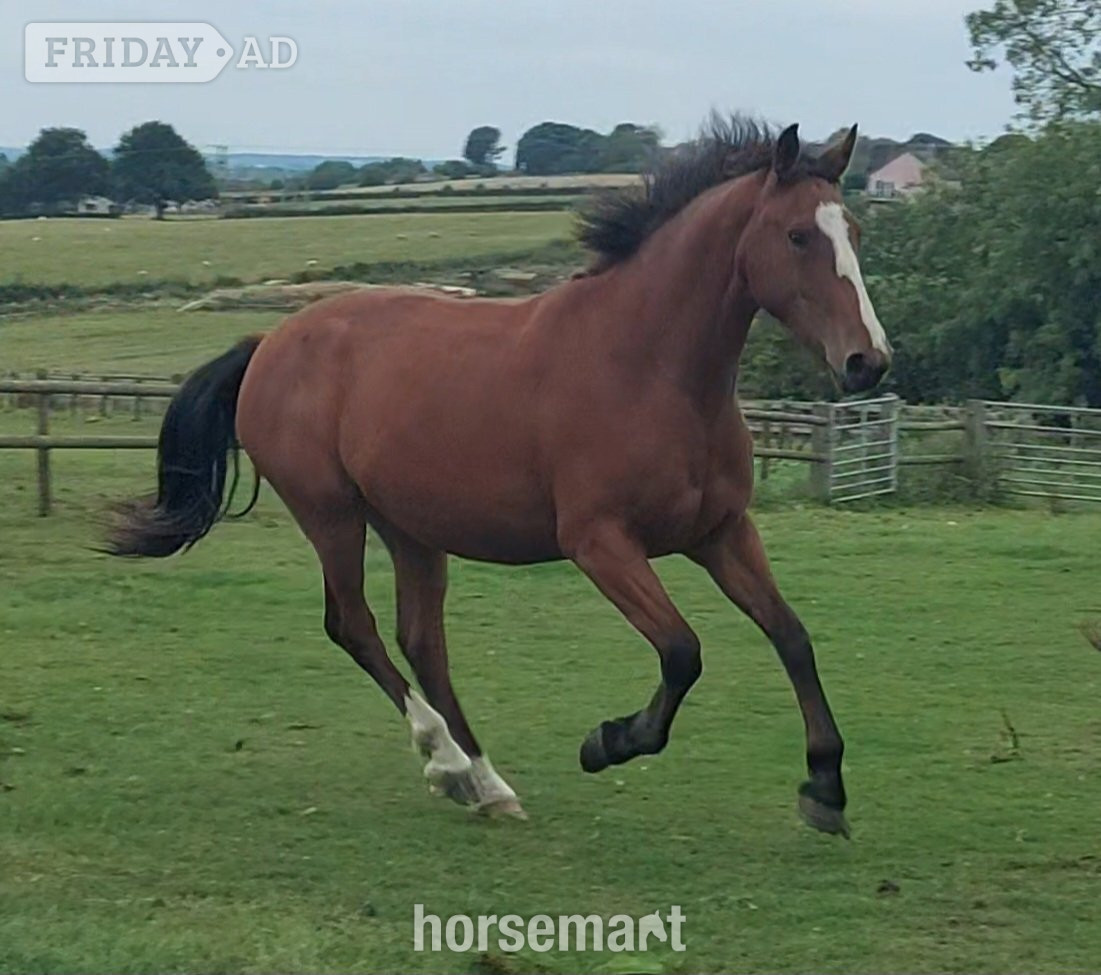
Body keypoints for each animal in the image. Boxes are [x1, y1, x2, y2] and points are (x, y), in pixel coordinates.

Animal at [106, 116, 891, 835]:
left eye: (853, 229)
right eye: (797, 236)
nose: (868, 361)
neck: (649, 368)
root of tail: (269, 340)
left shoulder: (721, 533)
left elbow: (791, 635)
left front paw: (825, 787)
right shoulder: (600, 543)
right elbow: (681, 652)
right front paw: (608, 742)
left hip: (410, 526)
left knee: (421, 639)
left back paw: (485, 784)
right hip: (331, 514)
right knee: (354, 625)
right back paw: (448, 762)